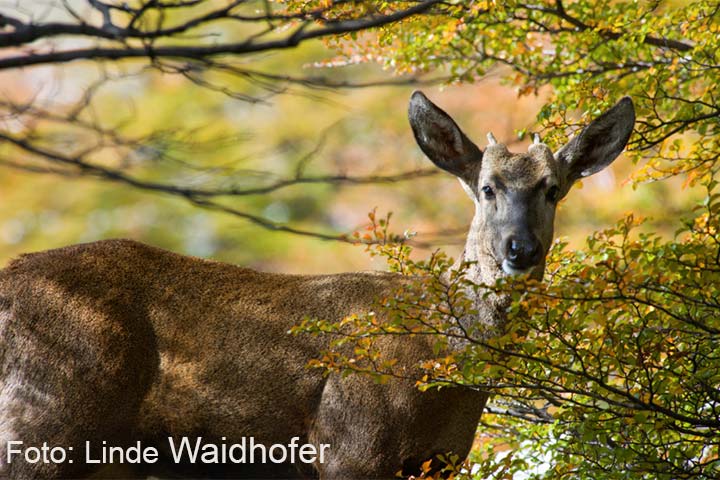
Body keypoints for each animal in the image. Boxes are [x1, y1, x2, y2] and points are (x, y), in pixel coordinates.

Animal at [0, 92, 632, 478]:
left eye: (553, 188)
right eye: (487, 187)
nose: (519, 250)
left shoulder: (441, 461)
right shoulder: (349, 443)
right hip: (45, 412)